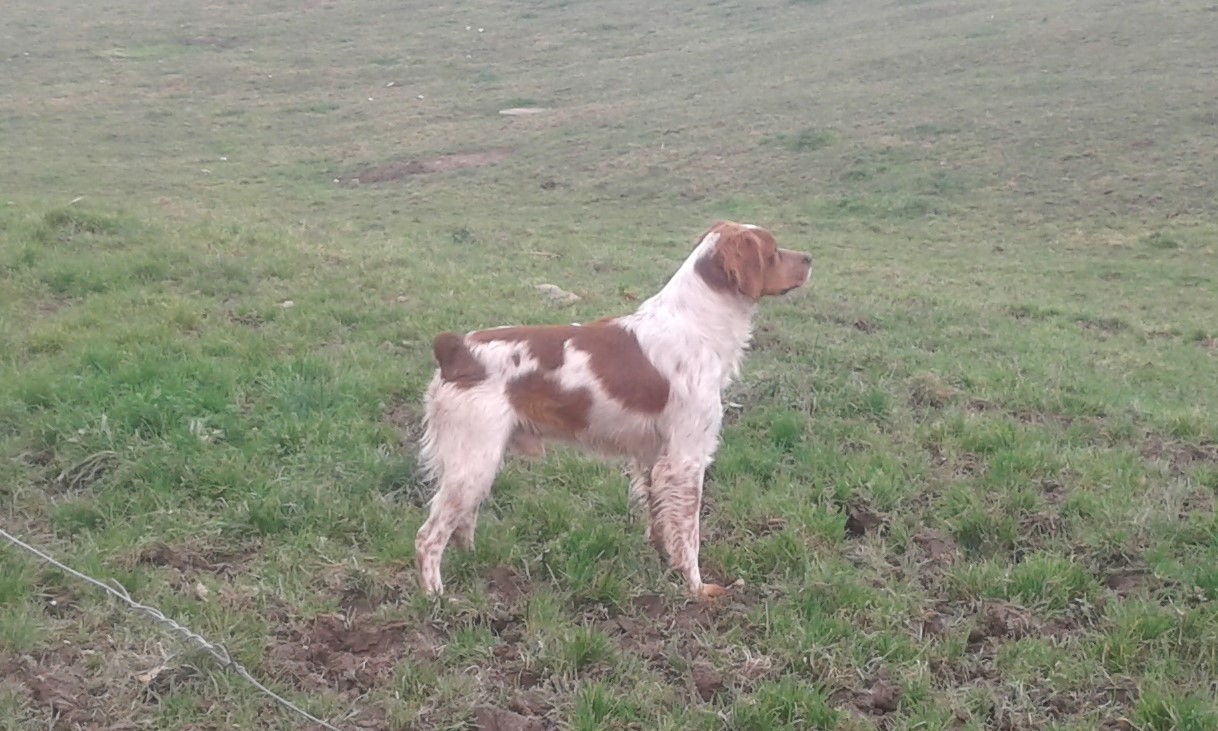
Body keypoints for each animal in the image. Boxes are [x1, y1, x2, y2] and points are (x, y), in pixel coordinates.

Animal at [415, 221, 812, 597]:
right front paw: (698, 588)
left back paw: (478, 564)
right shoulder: (687, 459)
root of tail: (456, 349)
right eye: (774, 251)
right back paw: (437, 596)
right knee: (429, 536)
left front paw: (665, 564)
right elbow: (690, 533)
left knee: (462, 523)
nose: (809, 258)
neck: (695, 325)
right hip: (474, 462)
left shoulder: (655, 458)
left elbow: (660, 521)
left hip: (477, 462)